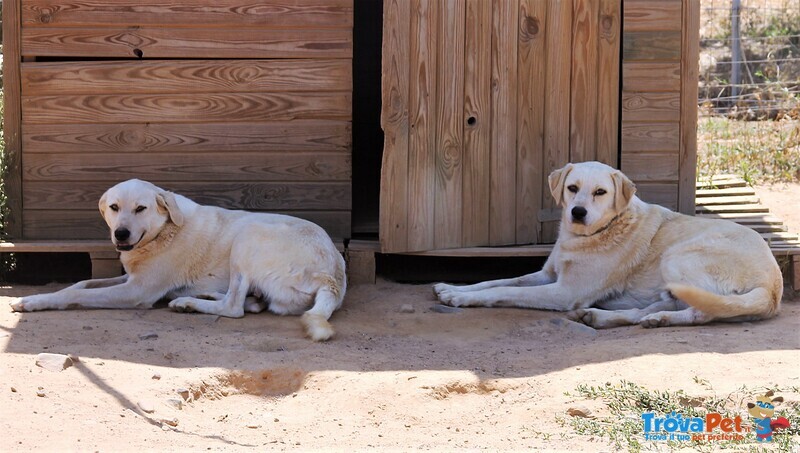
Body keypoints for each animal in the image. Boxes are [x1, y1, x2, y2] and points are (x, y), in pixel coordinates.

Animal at [9, 178, 346, 340]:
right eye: (115, 207)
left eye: (141, 208)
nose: (120, 234)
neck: (164, 231)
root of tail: (332, 277)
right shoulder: (129, 277)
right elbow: (80, 284)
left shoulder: (136, 291)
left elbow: (76, 295)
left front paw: (32, 302)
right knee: (247, 302)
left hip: (248, 233)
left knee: (234, 308)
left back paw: (187, 302)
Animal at [434, 161, 784, 326]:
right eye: (572, 188)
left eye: (600, 192)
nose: (577, 212)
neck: (588, 237)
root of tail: (772, 287)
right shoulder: (548, 275)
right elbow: (498, 280)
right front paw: (452, 288)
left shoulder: (564, 292)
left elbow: (505, 291)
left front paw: (461, 298)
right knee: (663, 307)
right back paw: (613, 318)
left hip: (678, 257)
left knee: (703, 312)